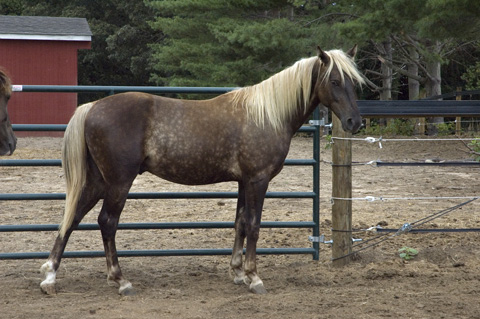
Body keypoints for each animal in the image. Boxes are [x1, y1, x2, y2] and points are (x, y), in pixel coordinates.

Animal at [40, 45, 364, 296]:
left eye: (355, 82)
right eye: (335, 81)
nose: (354, 122)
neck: (267, 114)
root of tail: (92, 107)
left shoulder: (243, 182)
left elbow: (240, 223)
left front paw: (237, 273)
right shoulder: (257, 180)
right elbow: (254, 226)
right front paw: (254, 277)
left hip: (98, 181)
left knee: (72, 217)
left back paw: (50, 277)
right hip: (119, 182)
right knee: (106, 222)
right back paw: (120, 280)